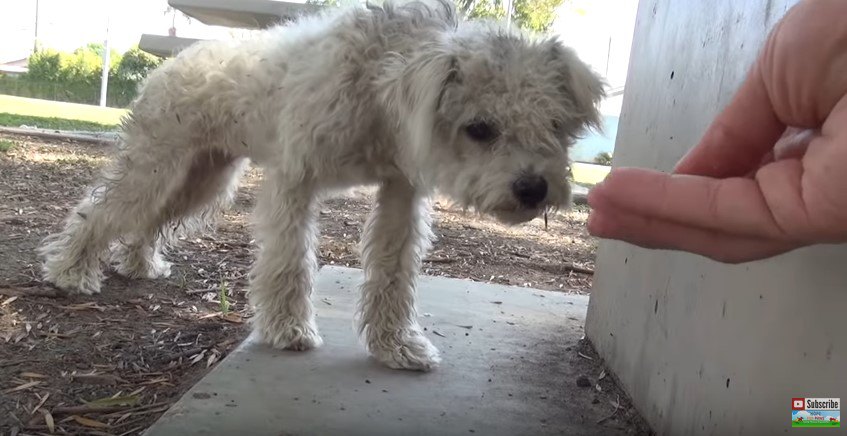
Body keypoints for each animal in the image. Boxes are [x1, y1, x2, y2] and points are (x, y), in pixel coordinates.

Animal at [38, 0, 604, 372]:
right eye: (480, 128)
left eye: (556, 123)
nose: (534, 189)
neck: (376, 89)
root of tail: (171, 63)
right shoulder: (295, 182)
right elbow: (290, 262)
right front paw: (289, 330)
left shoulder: (400, 192)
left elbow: (393, 272)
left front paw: (396, 346)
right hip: (157, 168)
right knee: (99, 212)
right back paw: (71, 272)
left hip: (202, 180)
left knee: (146, 224)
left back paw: (139, 264)